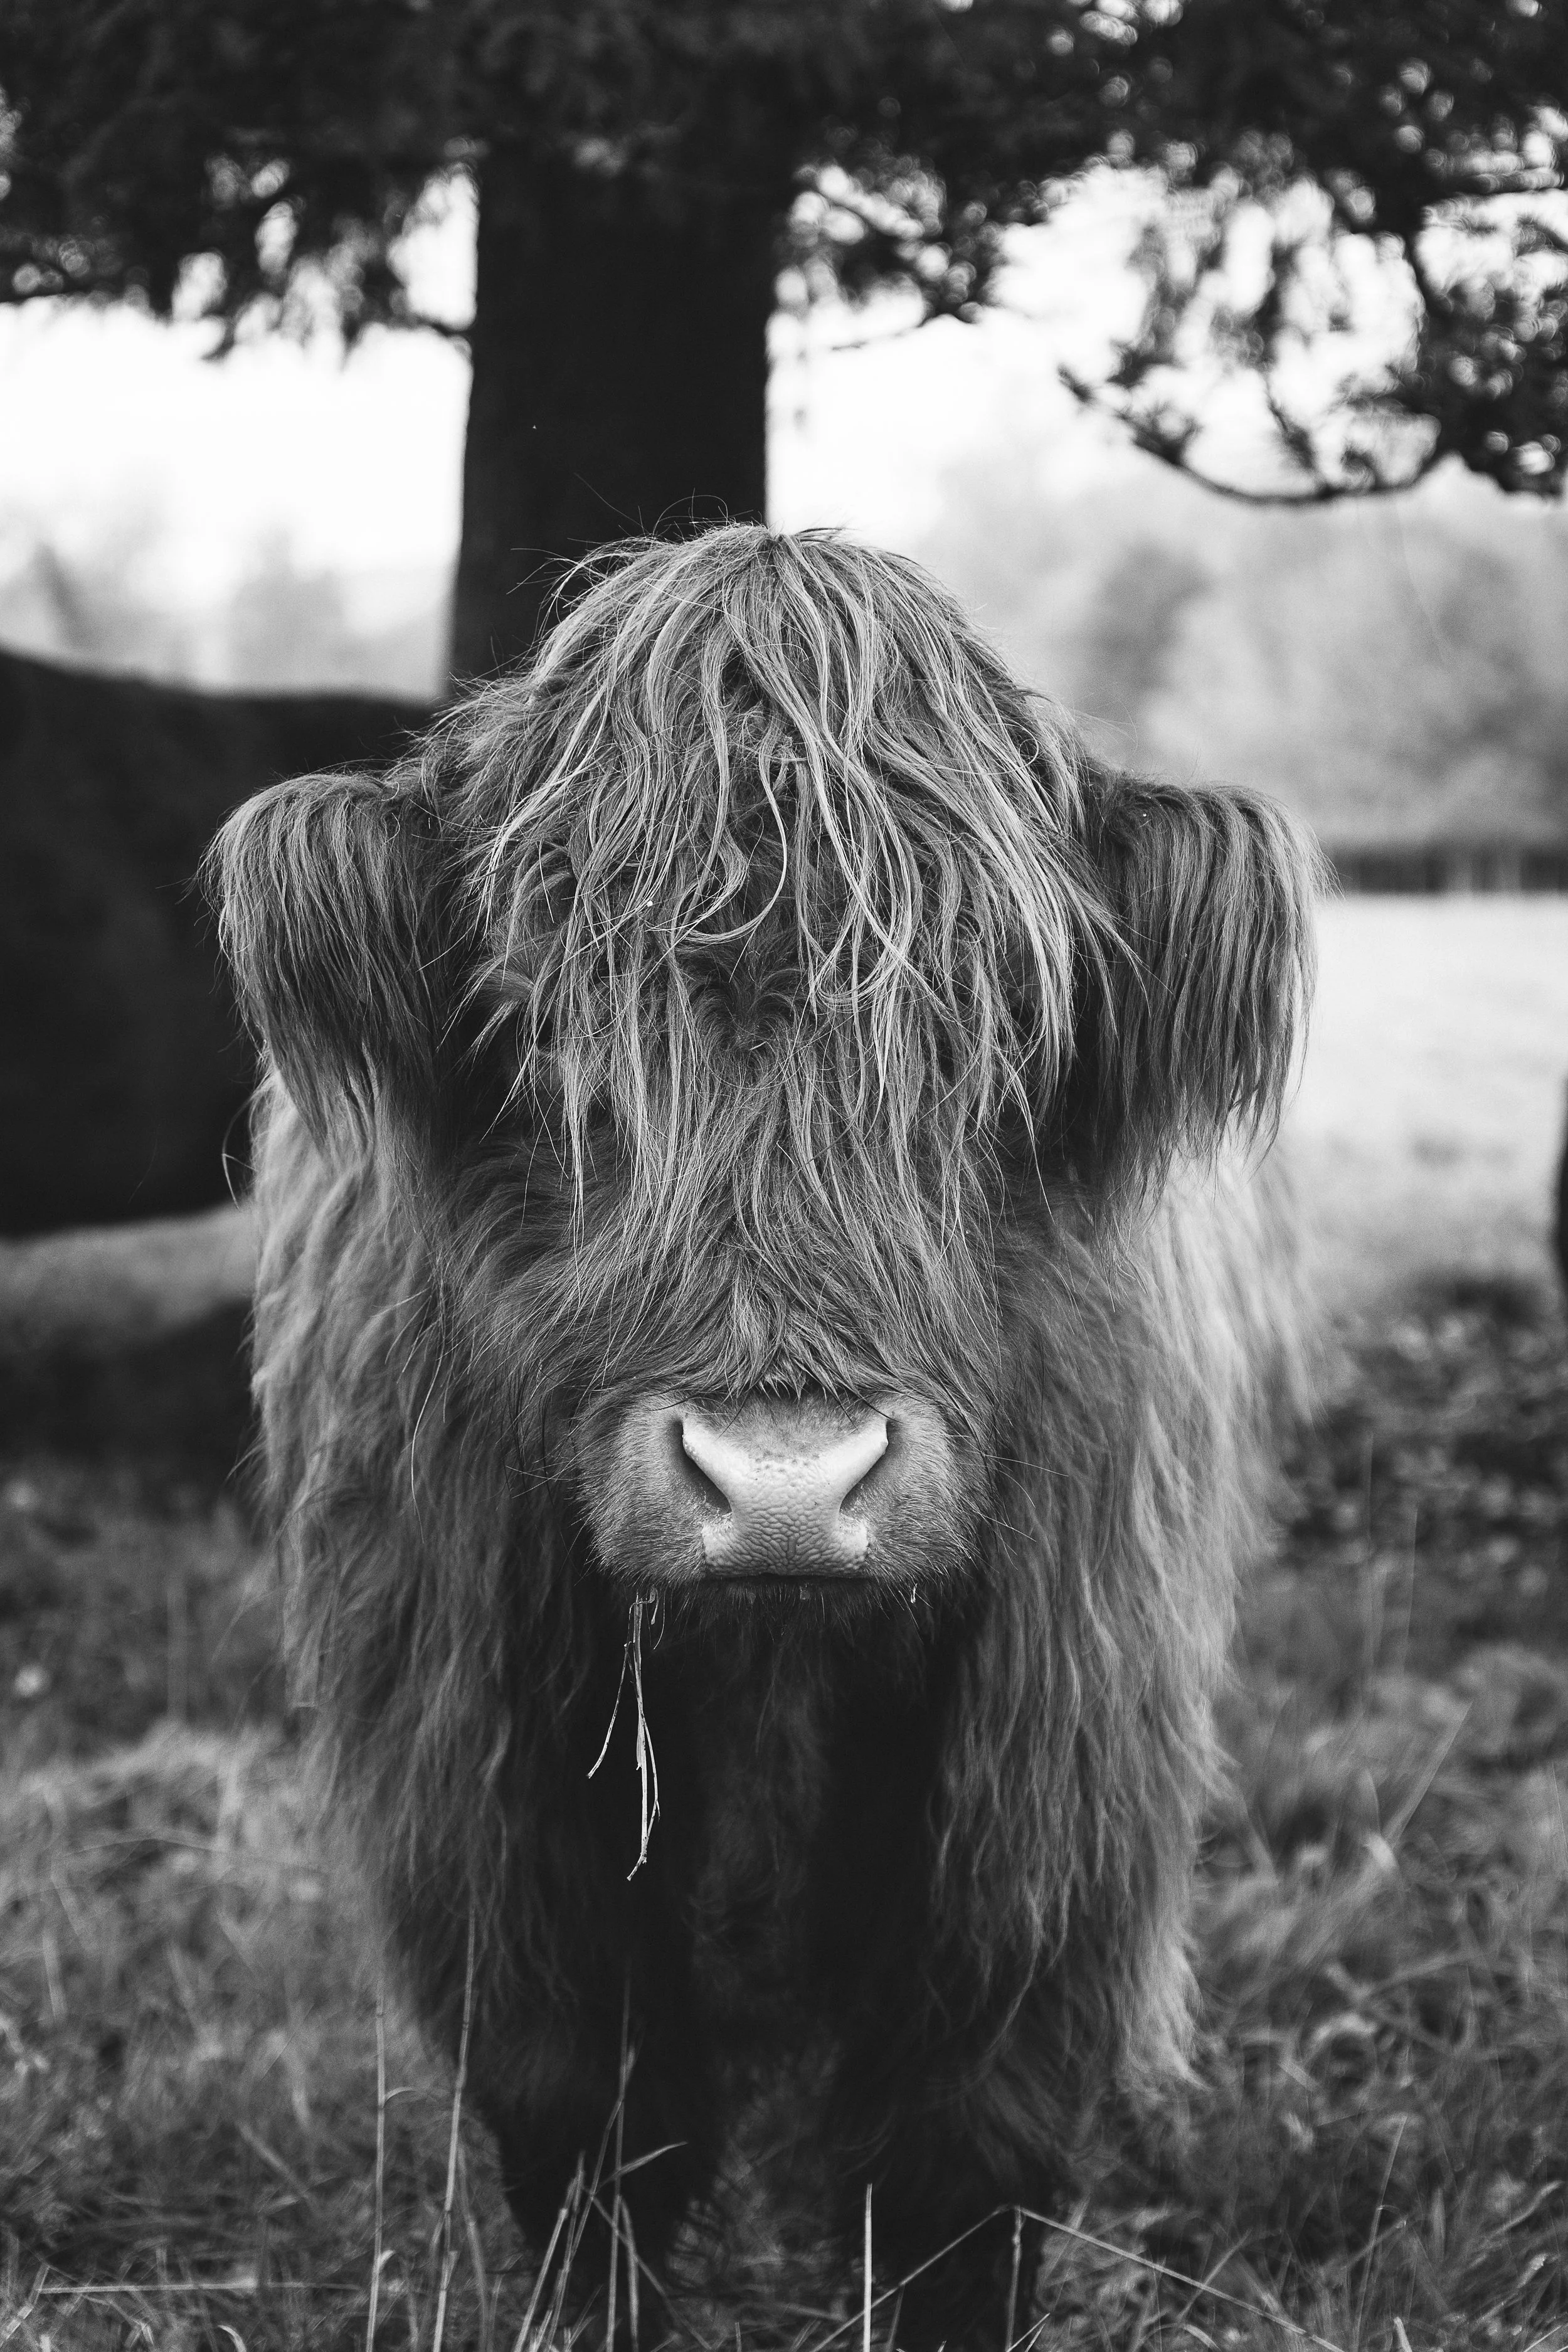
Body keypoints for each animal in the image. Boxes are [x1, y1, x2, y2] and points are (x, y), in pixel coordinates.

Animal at [209, 525, 1317, 2343]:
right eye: (546, 1038)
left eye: (1004, 1034)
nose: (784, 1488)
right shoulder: (481, 1790)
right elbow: (587, 2129)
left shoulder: (1053, 1788)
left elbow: (962, 2167)